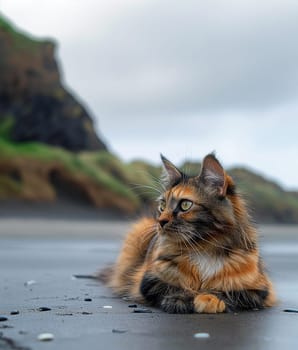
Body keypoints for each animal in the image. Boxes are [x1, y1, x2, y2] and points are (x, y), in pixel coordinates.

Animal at [99, 154, 274, 314]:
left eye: (185, 205)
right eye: (162, 205)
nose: (160, 221)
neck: (205, 248)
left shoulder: (258, 289)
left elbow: (228, 292)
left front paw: (209, 299)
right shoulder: (150, 279)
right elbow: (177, 287)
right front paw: (181, 300)